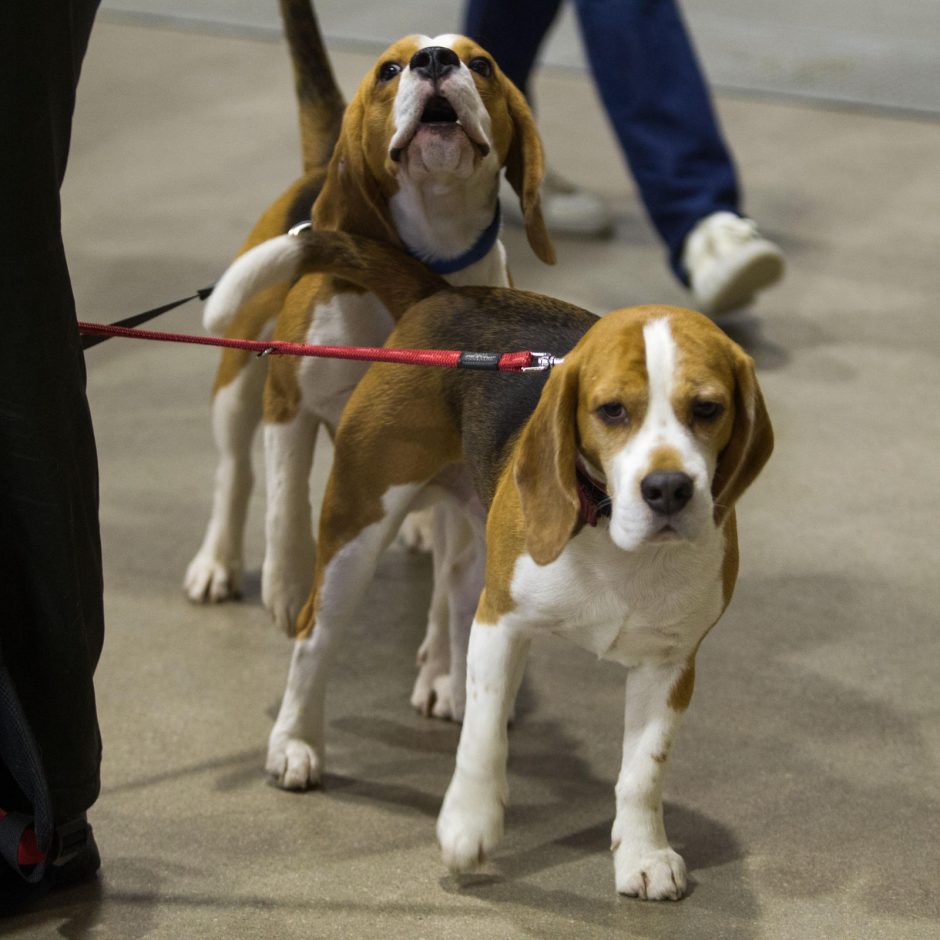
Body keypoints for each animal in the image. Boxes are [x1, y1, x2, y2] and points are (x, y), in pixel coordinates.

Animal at [185, 3, 556, 692]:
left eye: (482, 64)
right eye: (389, 69)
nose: (435, 60)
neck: (421, 262)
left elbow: (454, 577)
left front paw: (444, 672)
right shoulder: (289, 398)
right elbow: (284, 499)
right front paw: (288, 584)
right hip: (240, 376)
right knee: (235, 471)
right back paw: (218, 560)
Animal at [262, 231, 772, 900]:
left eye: (708, 408)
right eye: (612, 411)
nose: (667, 489)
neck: (613, 536)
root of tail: (445, 295)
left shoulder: (670, 661)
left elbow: (644, 771)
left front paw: (644, 854)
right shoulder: (502, 620)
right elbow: (482, 738)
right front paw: (468, 825)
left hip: (471, 541)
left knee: (451, 603)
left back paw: (443, 687)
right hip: (357, 524)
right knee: (313, 640)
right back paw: (294, 742)